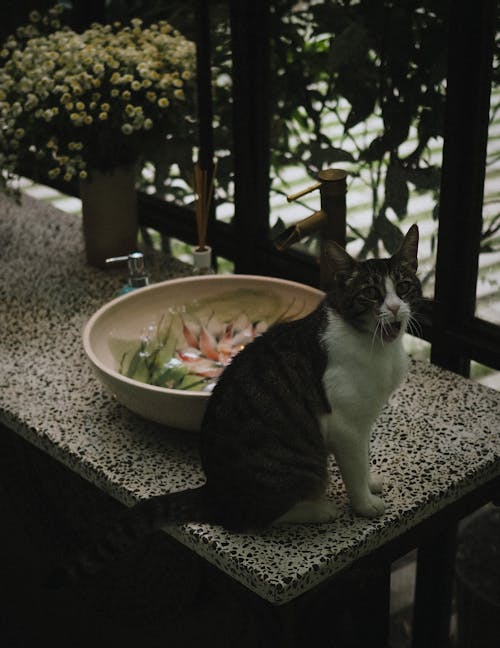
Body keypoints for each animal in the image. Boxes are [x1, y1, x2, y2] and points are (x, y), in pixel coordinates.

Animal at [47, 223, 422, 588]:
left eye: (404, 286)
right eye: (371, 293)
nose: (394, 308)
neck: (377, 345)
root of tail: (214, 491)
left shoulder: (363, 423)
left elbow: (363, 460)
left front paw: (371, 481)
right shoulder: (346, 425)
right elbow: (354, 468)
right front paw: (365, 503)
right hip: (296, 467)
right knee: (251, 519)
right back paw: (318, 509)